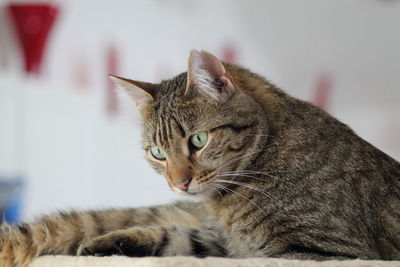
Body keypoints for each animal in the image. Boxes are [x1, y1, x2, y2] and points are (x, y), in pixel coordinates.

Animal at [0, 50, 400, 267]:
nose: (179, 184)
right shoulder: (219, 241)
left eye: (198, 140)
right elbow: (174, 237)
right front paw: (108, 243)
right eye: (158, 153)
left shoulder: (329, 252)